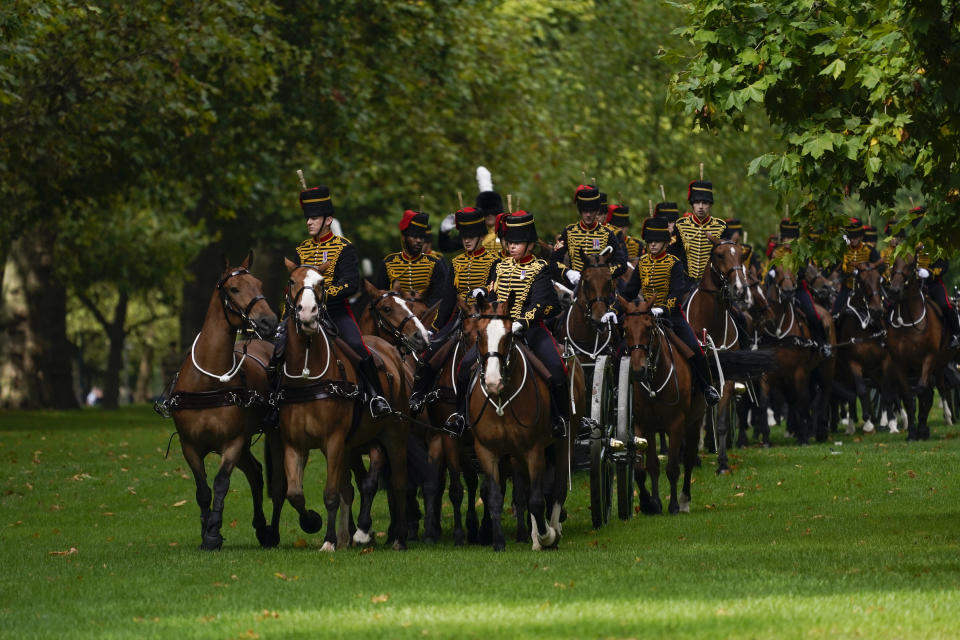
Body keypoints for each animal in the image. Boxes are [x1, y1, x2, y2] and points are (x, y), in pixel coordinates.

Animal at [162, 250, 278, 552]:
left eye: (259, 284)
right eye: (234, 288)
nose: (269, 322)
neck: (208, 383)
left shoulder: (233, 443)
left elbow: (221, 483)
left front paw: (214, 532)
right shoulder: (189, 445)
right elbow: (203, 490)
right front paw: (207, 531)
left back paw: (271, 530)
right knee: (256, 473)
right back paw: (261, 527)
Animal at [274, 260, 408, 552]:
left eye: (322, 283)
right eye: (291, 281)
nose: (308, 314)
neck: (308, 375)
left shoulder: (334, 441)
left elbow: (331, 493)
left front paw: (329, 540)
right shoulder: (294, 444)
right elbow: (295, 494)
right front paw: (312, 522)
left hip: (394, 434)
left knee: (398, 482)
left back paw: (398, 538)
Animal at [466, 296, 584, 552]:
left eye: (509, 335)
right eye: (479, 334)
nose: (493, 382)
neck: (502, 399)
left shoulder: (534, 450)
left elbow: (538, 500)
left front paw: (548, 535)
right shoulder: (487, 451)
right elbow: (495, 497)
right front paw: (499, 543)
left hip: (563, 442)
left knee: (557, 487)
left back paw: (551, 530)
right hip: (516, 456)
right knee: (525, 490)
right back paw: (533, 536)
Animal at [620, 298, 700, 512]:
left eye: (649, 328)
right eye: (625, 328)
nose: (638, 371)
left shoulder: (676, 424)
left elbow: (672, 467)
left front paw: (672, 505)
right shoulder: (642, 425)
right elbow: (647, 468)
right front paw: (651, 502)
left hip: (694, 423)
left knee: (688, 459)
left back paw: (684, 499)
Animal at [880, 255, 948, 440]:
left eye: (911, 265)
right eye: (894, 263)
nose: (894, 290)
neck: (908, 321)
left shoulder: (929, 358)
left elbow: (923, 391)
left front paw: (921, 428)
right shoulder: (899, 363)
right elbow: (908, 397)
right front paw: (912, 432)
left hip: (938, 365)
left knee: (930, 391)